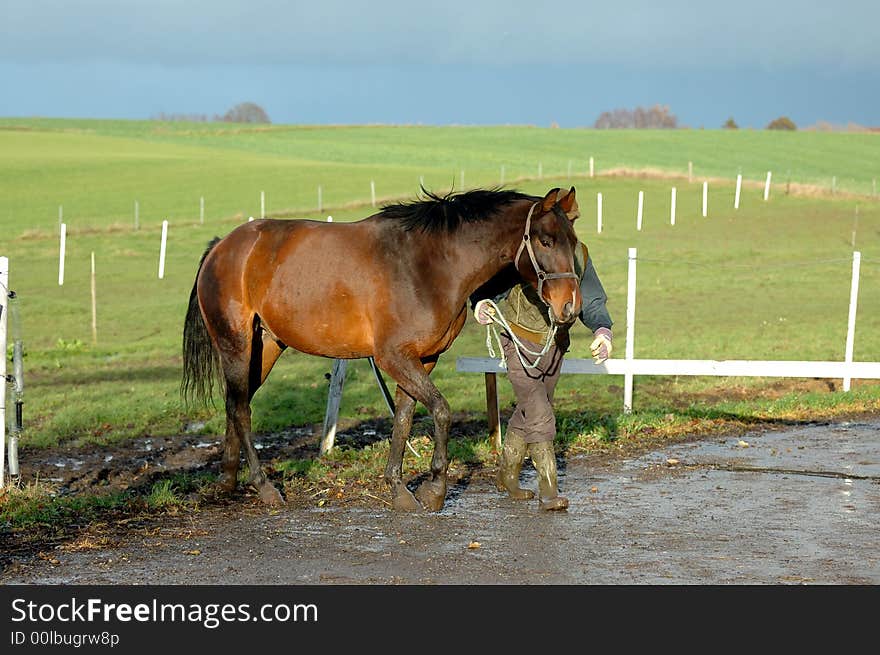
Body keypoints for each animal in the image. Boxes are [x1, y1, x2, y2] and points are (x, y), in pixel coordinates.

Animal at [184, 184, 584, 512]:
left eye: (572, 240)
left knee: (236, 404)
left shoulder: (423, 359)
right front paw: (435, 489)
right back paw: (264, 486)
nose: (569, 307)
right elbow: (441, 411)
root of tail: (222, 247)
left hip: (266, 346)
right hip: (236, 345)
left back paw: (228, 480)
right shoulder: (393, 357)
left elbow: (404, 418)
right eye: (545, 241)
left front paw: (398, 488)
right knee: (241, 409)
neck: (428, 265)